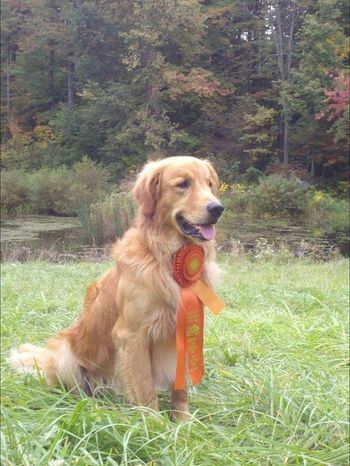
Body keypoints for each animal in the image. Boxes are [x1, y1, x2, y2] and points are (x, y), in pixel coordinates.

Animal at [10, 155, 226, 420]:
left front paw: (183, 422)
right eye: (183, 184)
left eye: (209, 184)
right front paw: (154, 424)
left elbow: (180, 389)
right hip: (65, 355)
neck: (166, 257)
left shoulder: (185, 328)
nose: (217, 208)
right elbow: (145, 388)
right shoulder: (133, 334)